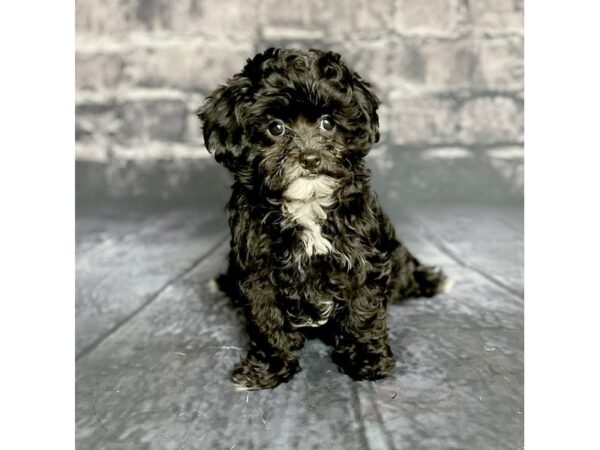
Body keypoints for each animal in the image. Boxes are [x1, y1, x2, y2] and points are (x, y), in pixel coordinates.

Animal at [199, 47, 448, 388]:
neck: (307, 204)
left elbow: (363, 309)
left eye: (328, 123)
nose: (310, 158)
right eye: (275, 128)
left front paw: (366, 359)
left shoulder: (364, 254)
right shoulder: (256, 267)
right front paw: (269, 366)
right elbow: (265, 318)